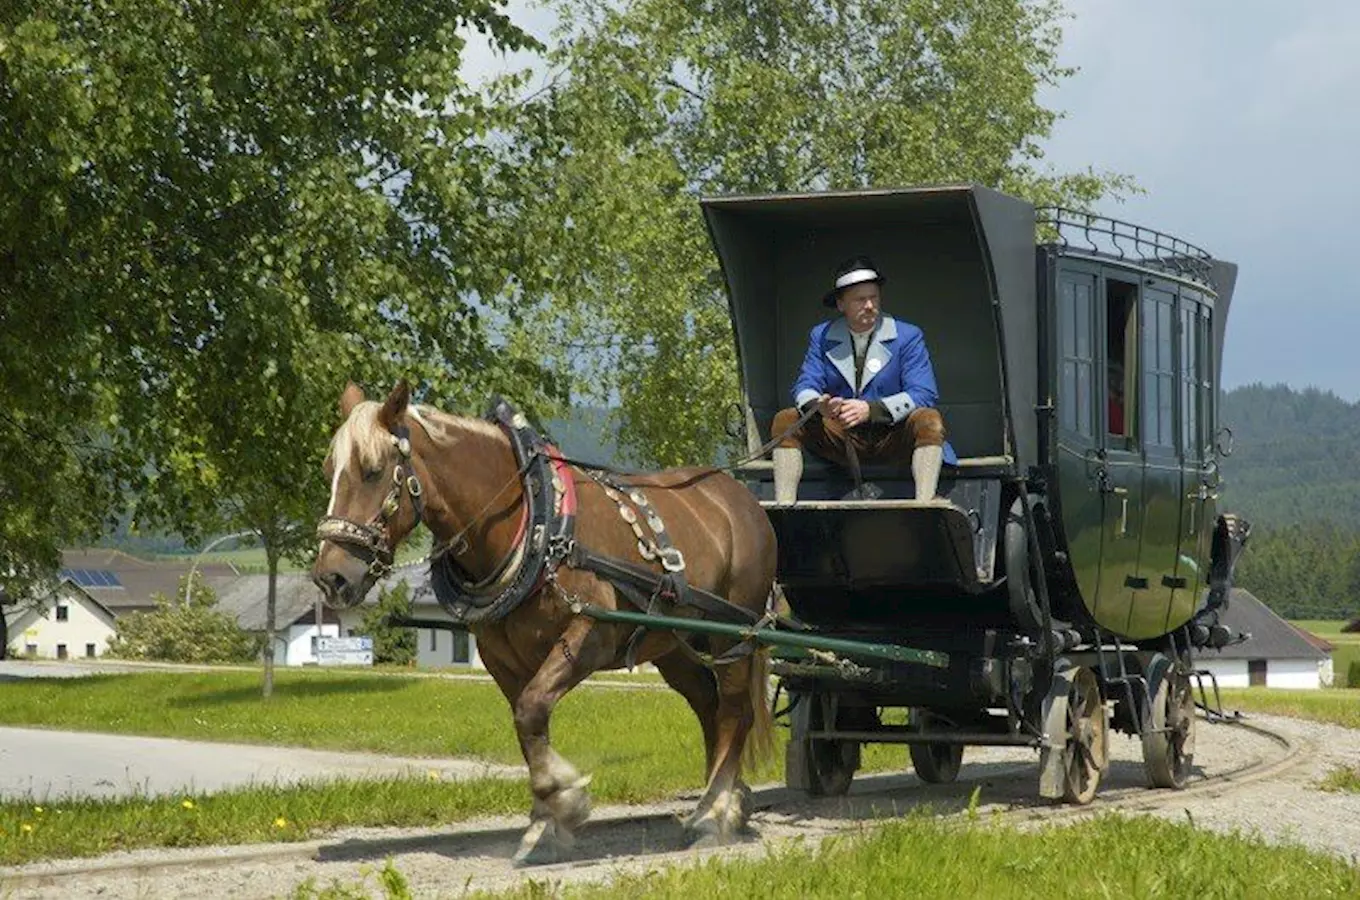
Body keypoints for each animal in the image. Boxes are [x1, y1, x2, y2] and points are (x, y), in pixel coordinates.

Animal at [311, 383, 777, 870]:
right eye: (329, 471)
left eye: (372, 471)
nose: (331, 577)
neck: (537, 524)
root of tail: (739, 496)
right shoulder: (501, 659)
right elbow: (526, 726)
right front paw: (544, 823)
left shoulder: (588, 636)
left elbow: (532, 708)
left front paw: (564, 800)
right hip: (669, 642)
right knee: (707, 700)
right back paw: (728, 800)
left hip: (736, 633)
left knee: (734, 709)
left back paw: (713, 812)